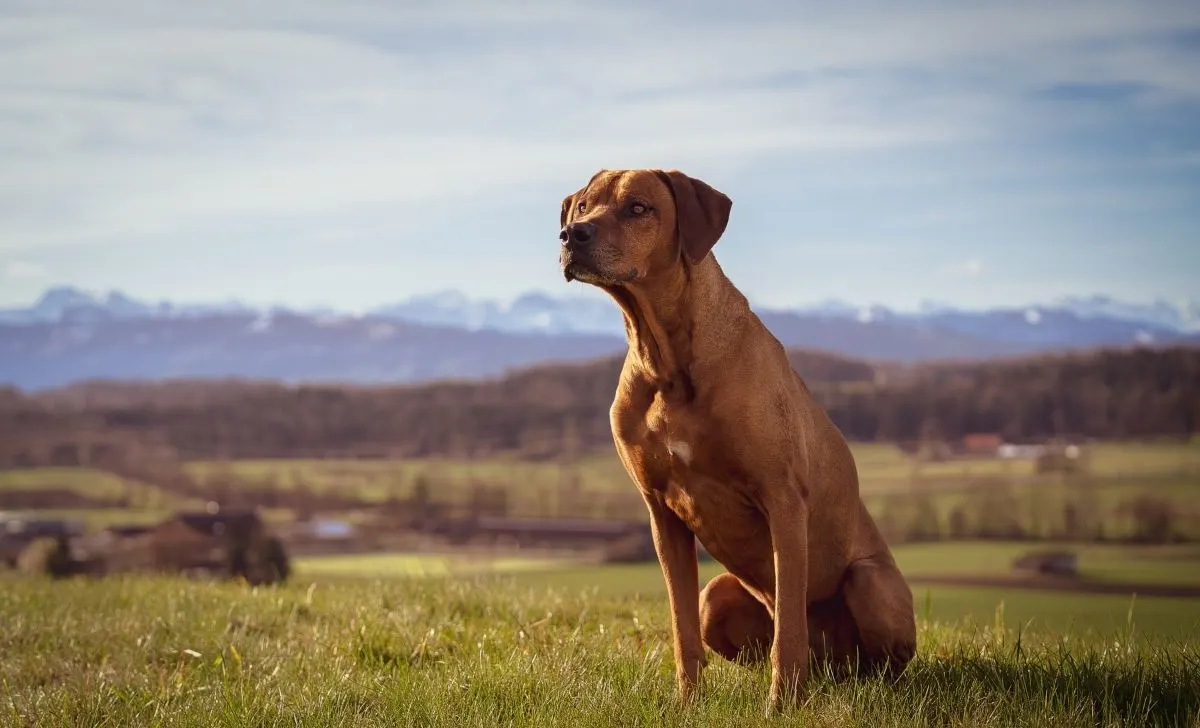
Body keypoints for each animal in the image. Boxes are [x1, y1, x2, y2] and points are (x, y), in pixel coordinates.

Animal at [556, 169, 912, 710]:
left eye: (638, 208)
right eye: (582, 206)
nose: (572, 236)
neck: (667, 358)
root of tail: (835, 668)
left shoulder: (783, 499)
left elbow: (789, 629)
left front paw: (781, 706)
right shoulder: (661, 512)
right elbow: (681, 628)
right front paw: (687, 704)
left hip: (870, 582)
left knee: (878, 662)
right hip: (718, 596)